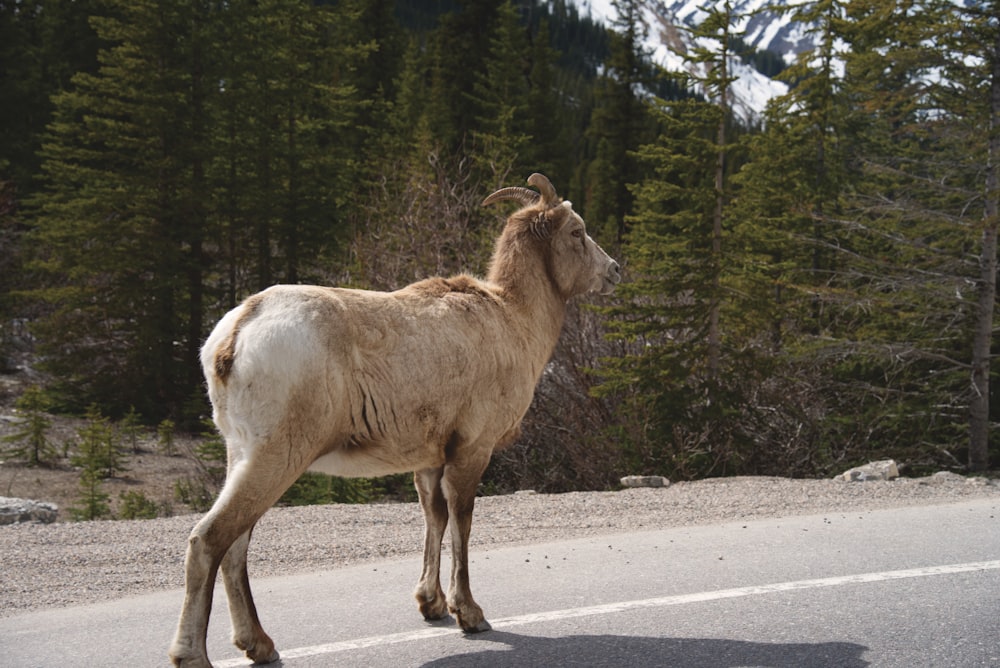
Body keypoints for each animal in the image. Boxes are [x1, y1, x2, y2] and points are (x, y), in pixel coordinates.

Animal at [169, 175, 620, 664]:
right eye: (576, 231)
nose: (614, 270)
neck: (516, 321)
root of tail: (232, 339)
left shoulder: (429, 458)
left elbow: (434, 518)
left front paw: (431, 605)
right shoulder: (472, 448)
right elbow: (461, 523)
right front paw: (471, 615)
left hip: (240, 452)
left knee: (235, 547)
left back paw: (260, 645)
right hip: (278, 455)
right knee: (209, 539)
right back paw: (193, 655)